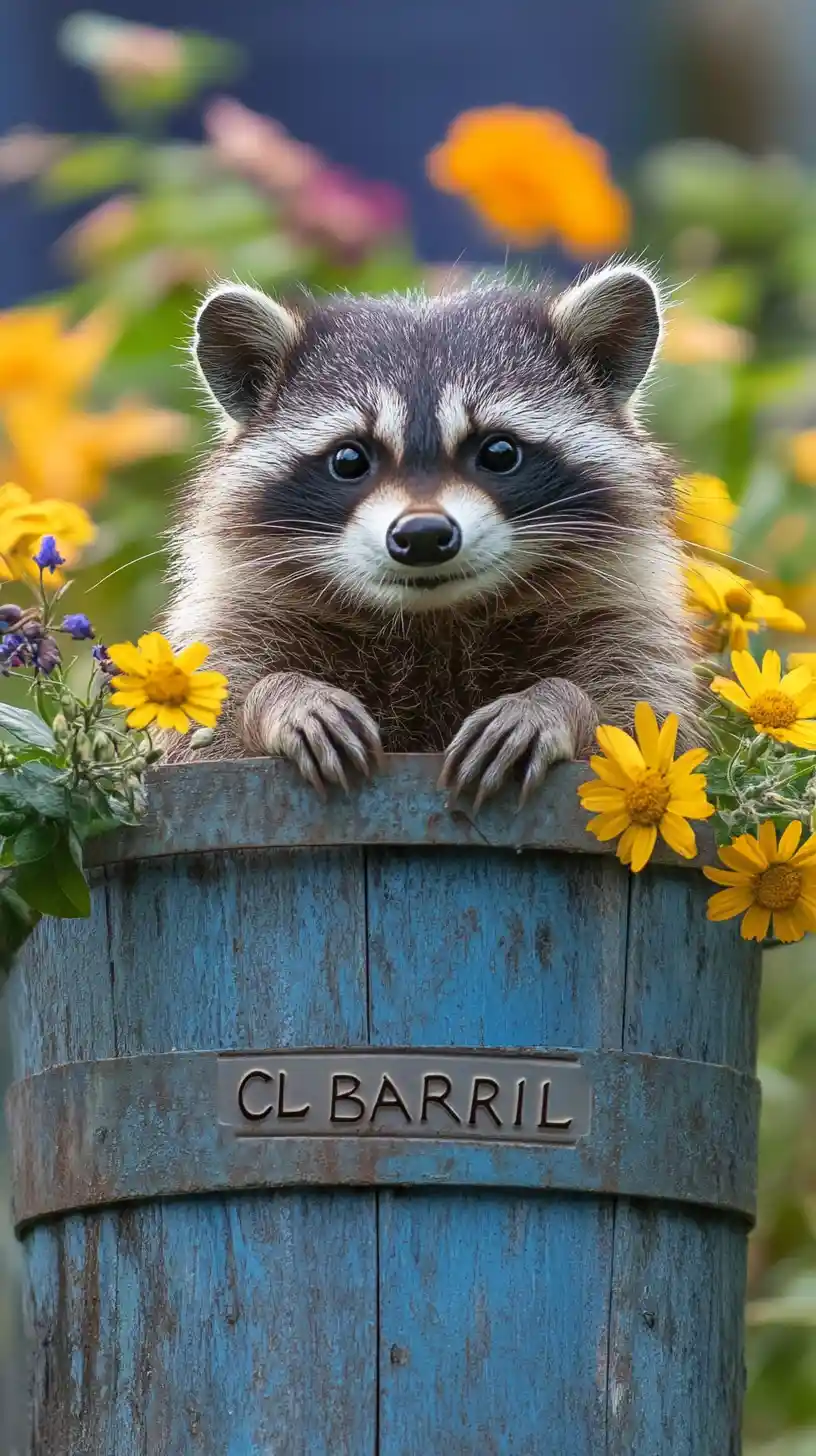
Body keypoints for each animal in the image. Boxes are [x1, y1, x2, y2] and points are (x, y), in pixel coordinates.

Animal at [163, 264, 697, 807]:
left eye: (500, 452)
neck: (432, 619)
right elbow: (216, 721)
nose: (422, 534)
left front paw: (555, 702)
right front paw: (281, 696)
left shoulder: (620, 624)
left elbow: (636, 718)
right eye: (349, 459)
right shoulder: (240, 625)